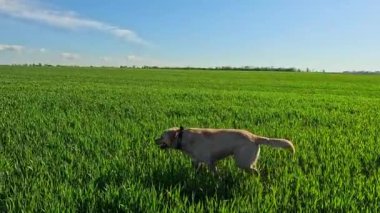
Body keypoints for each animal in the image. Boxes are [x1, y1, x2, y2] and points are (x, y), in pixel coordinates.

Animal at [154, 126, 294, 173]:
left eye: (162, 136)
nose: (154, 140)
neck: (183, 138)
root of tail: (254, 137)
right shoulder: (197, 161)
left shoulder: (210, 162)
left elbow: (215, 173)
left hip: (242, 161)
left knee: (256, 172)